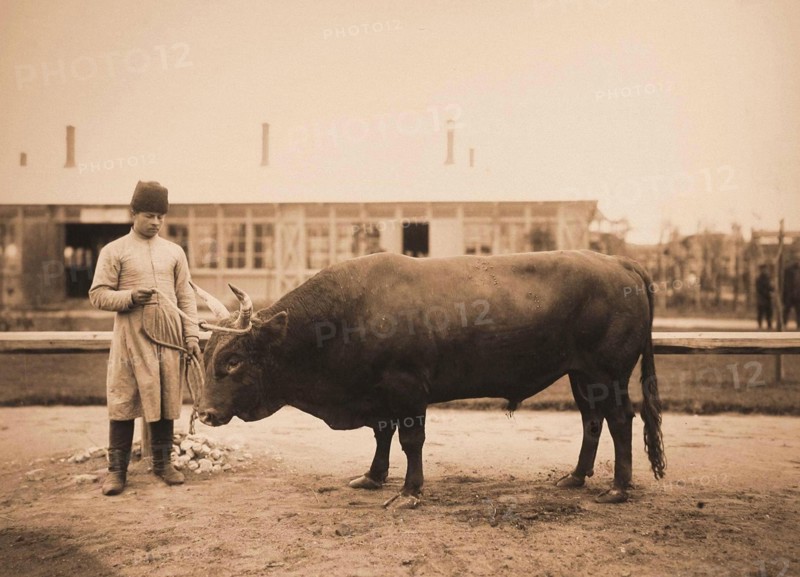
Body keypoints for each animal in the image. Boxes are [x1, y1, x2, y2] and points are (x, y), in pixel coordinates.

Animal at [195, 250, 665, 507]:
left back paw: (619, 488)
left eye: (233, 360)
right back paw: (576, 476)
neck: (346, 314)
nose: (203, 412)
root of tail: (620, 263)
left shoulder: (406, 390)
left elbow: (410, 440)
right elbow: (382, 436)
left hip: (608, 373)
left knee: (620, 420)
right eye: (205, 354)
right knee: (592, 420)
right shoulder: (379, 396)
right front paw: (373, 476)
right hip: (581, 375)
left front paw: (409, 491)